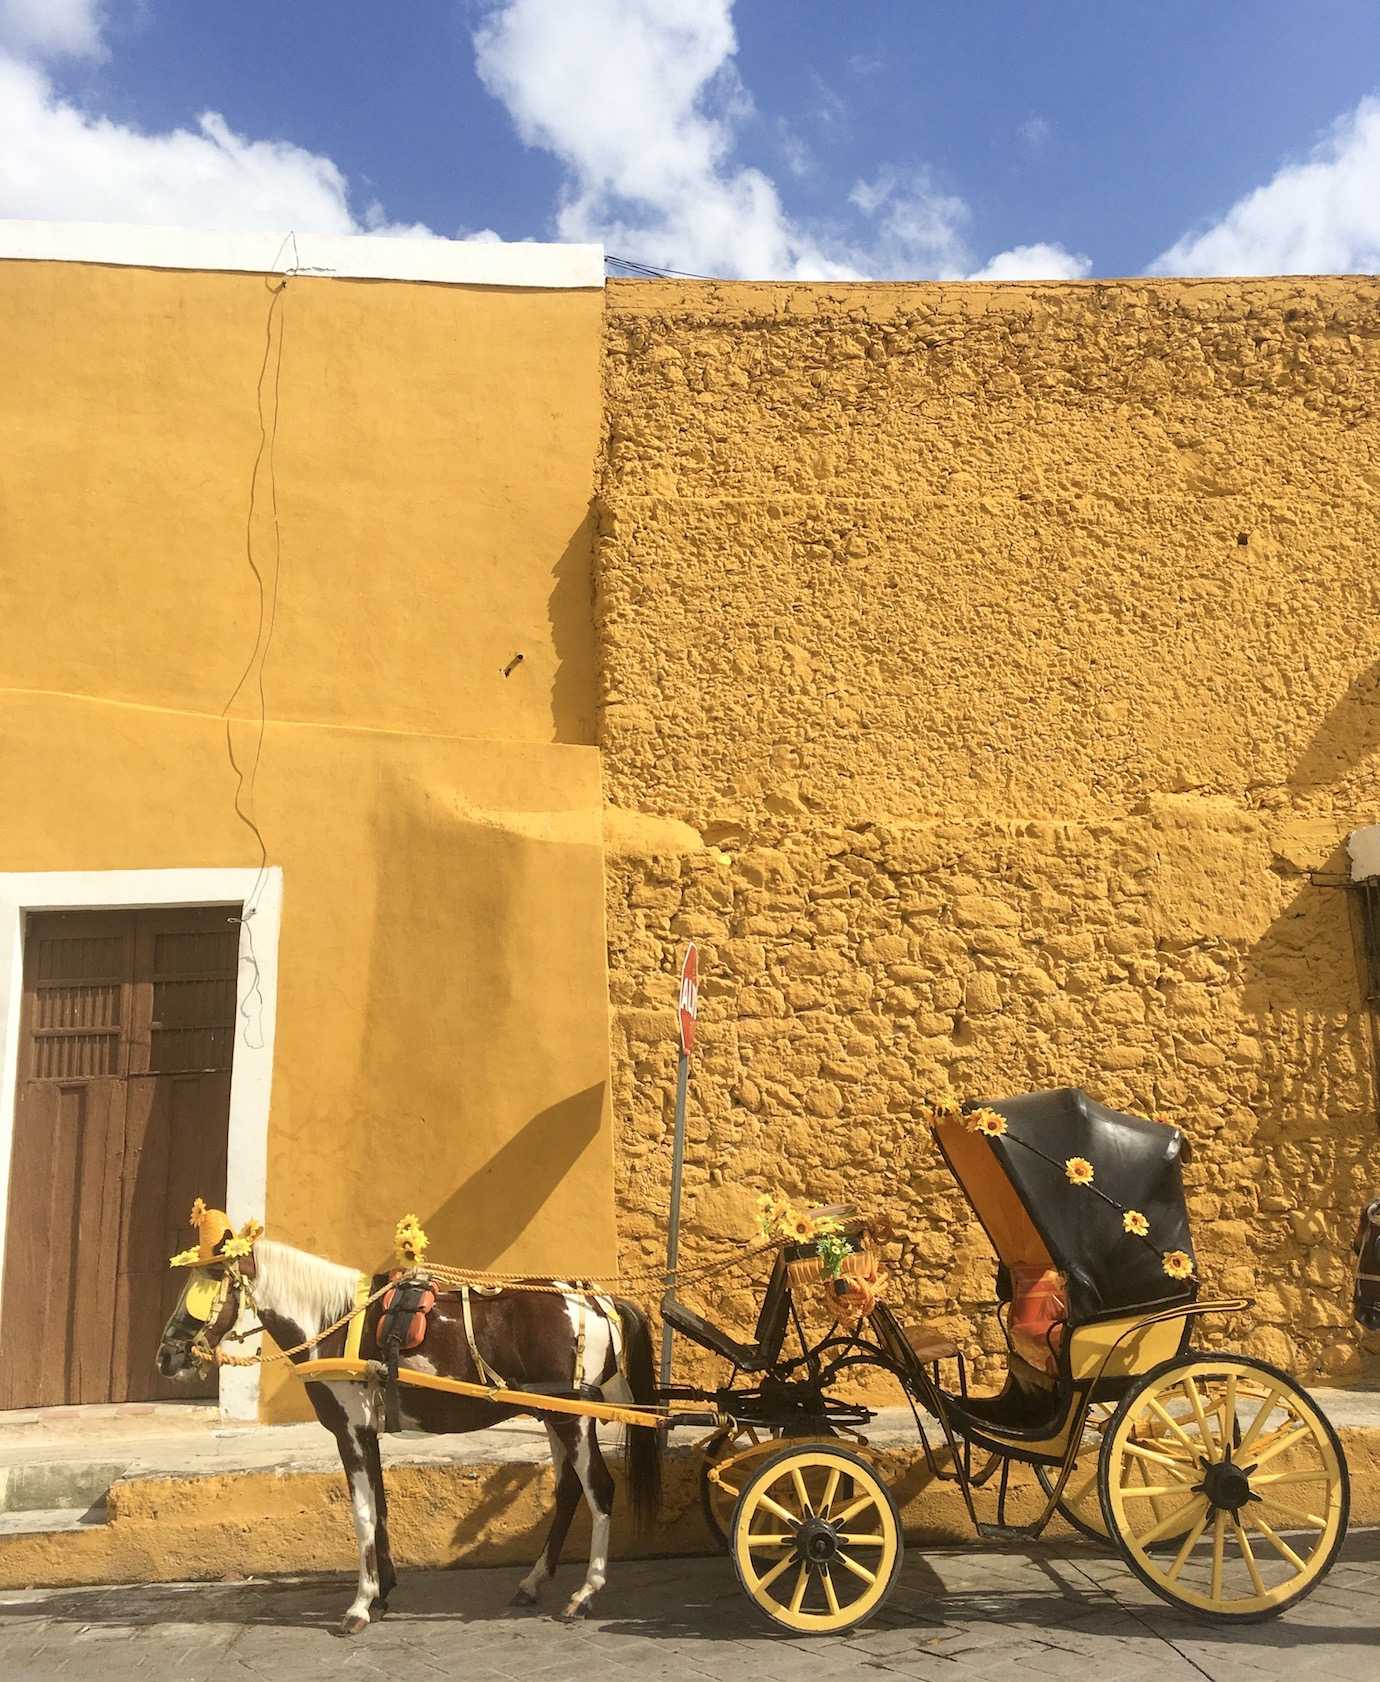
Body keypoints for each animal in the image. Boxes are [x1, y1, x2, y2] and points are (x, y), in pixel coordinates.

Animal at [156, 1237, 663, 1628]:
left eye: (208, 1282)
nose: (167, 1356)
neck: (334, 1323)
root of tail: (596, 1300)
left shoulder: (350, 1431)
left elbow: (362, 1514)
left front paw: (360, 1606)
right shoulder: (369, 1432)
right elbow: (380, 1509)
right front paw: (382, 1596)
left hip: (572, 1418)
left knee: (599, 1489)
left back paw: (585, 1594)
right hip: (554, 1412)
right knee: (569, 1492)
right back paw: (533, 1583)